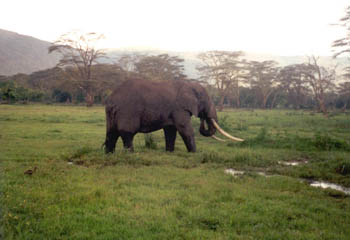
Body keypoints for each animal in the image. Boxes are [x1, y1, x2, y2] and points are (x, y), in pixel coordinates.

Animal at [102, 79, 242, 154]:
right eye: (206, 100)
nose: (202, 117)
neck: (190, 84)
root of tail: (112, 99)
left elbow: (170, 131)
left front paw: (169, 152)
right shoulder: (179, 108)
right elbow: (185, 129)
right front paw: (194, 153)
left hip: (111, 113)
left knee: (111, 133)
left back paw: (110, 154)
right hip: (128, 111)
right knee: (127, 133)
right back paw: (131, 154)